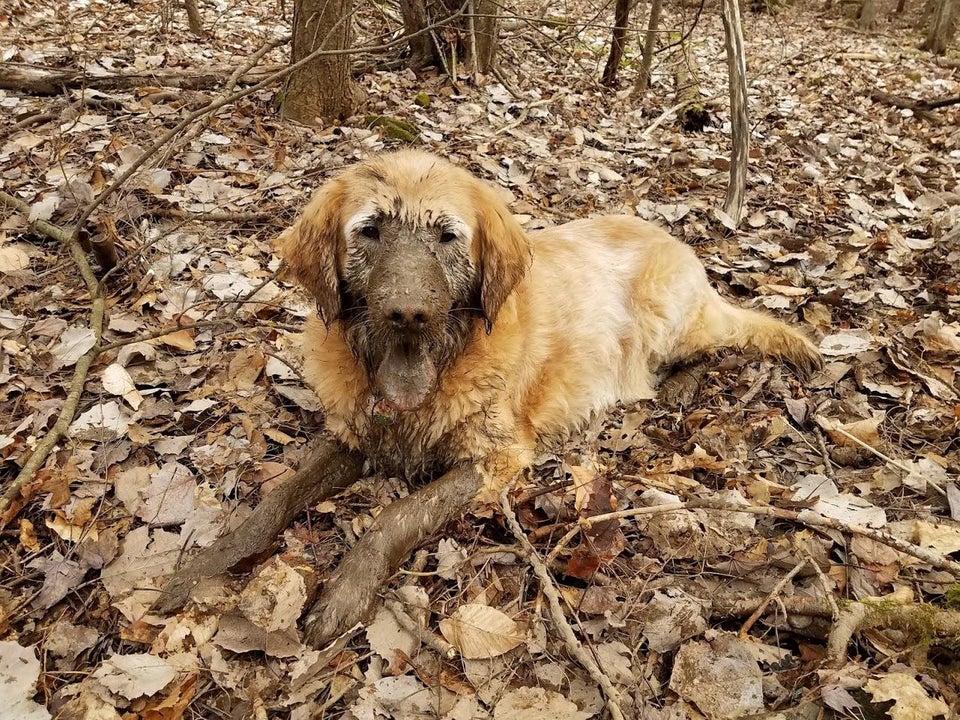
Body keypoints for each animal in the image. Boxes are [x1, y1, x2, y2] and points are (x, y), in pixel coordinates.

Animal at [276, 151, 816, 490]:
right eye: (370, 230)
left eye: (447, 236)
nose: (409, 315)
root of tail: (676, 239)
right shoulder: (350, 433)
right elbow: (278, 497)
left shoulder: (498, 454)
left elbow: (393, 524)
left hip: (667, 318)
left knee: (716, 343)